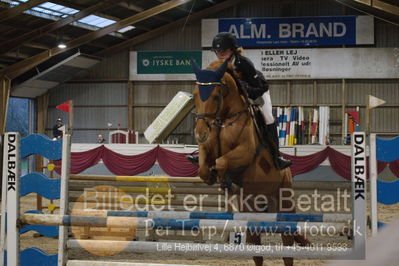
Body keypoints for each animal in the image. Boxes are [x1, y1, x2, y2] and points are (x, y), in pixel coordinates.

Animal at [191, 59, 310, 264]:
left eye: (216, 96)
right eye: (195, 95)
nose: (200, 134)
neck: (224, 119)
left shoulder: (245, 152)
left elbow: (222, 162)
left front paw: (226, 180)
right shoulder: (207, 149)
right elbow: (204, 169)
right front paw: (218, 180)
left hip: (284, 205)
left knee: (287, 250)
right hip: (252, 212)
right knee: (258, 253)